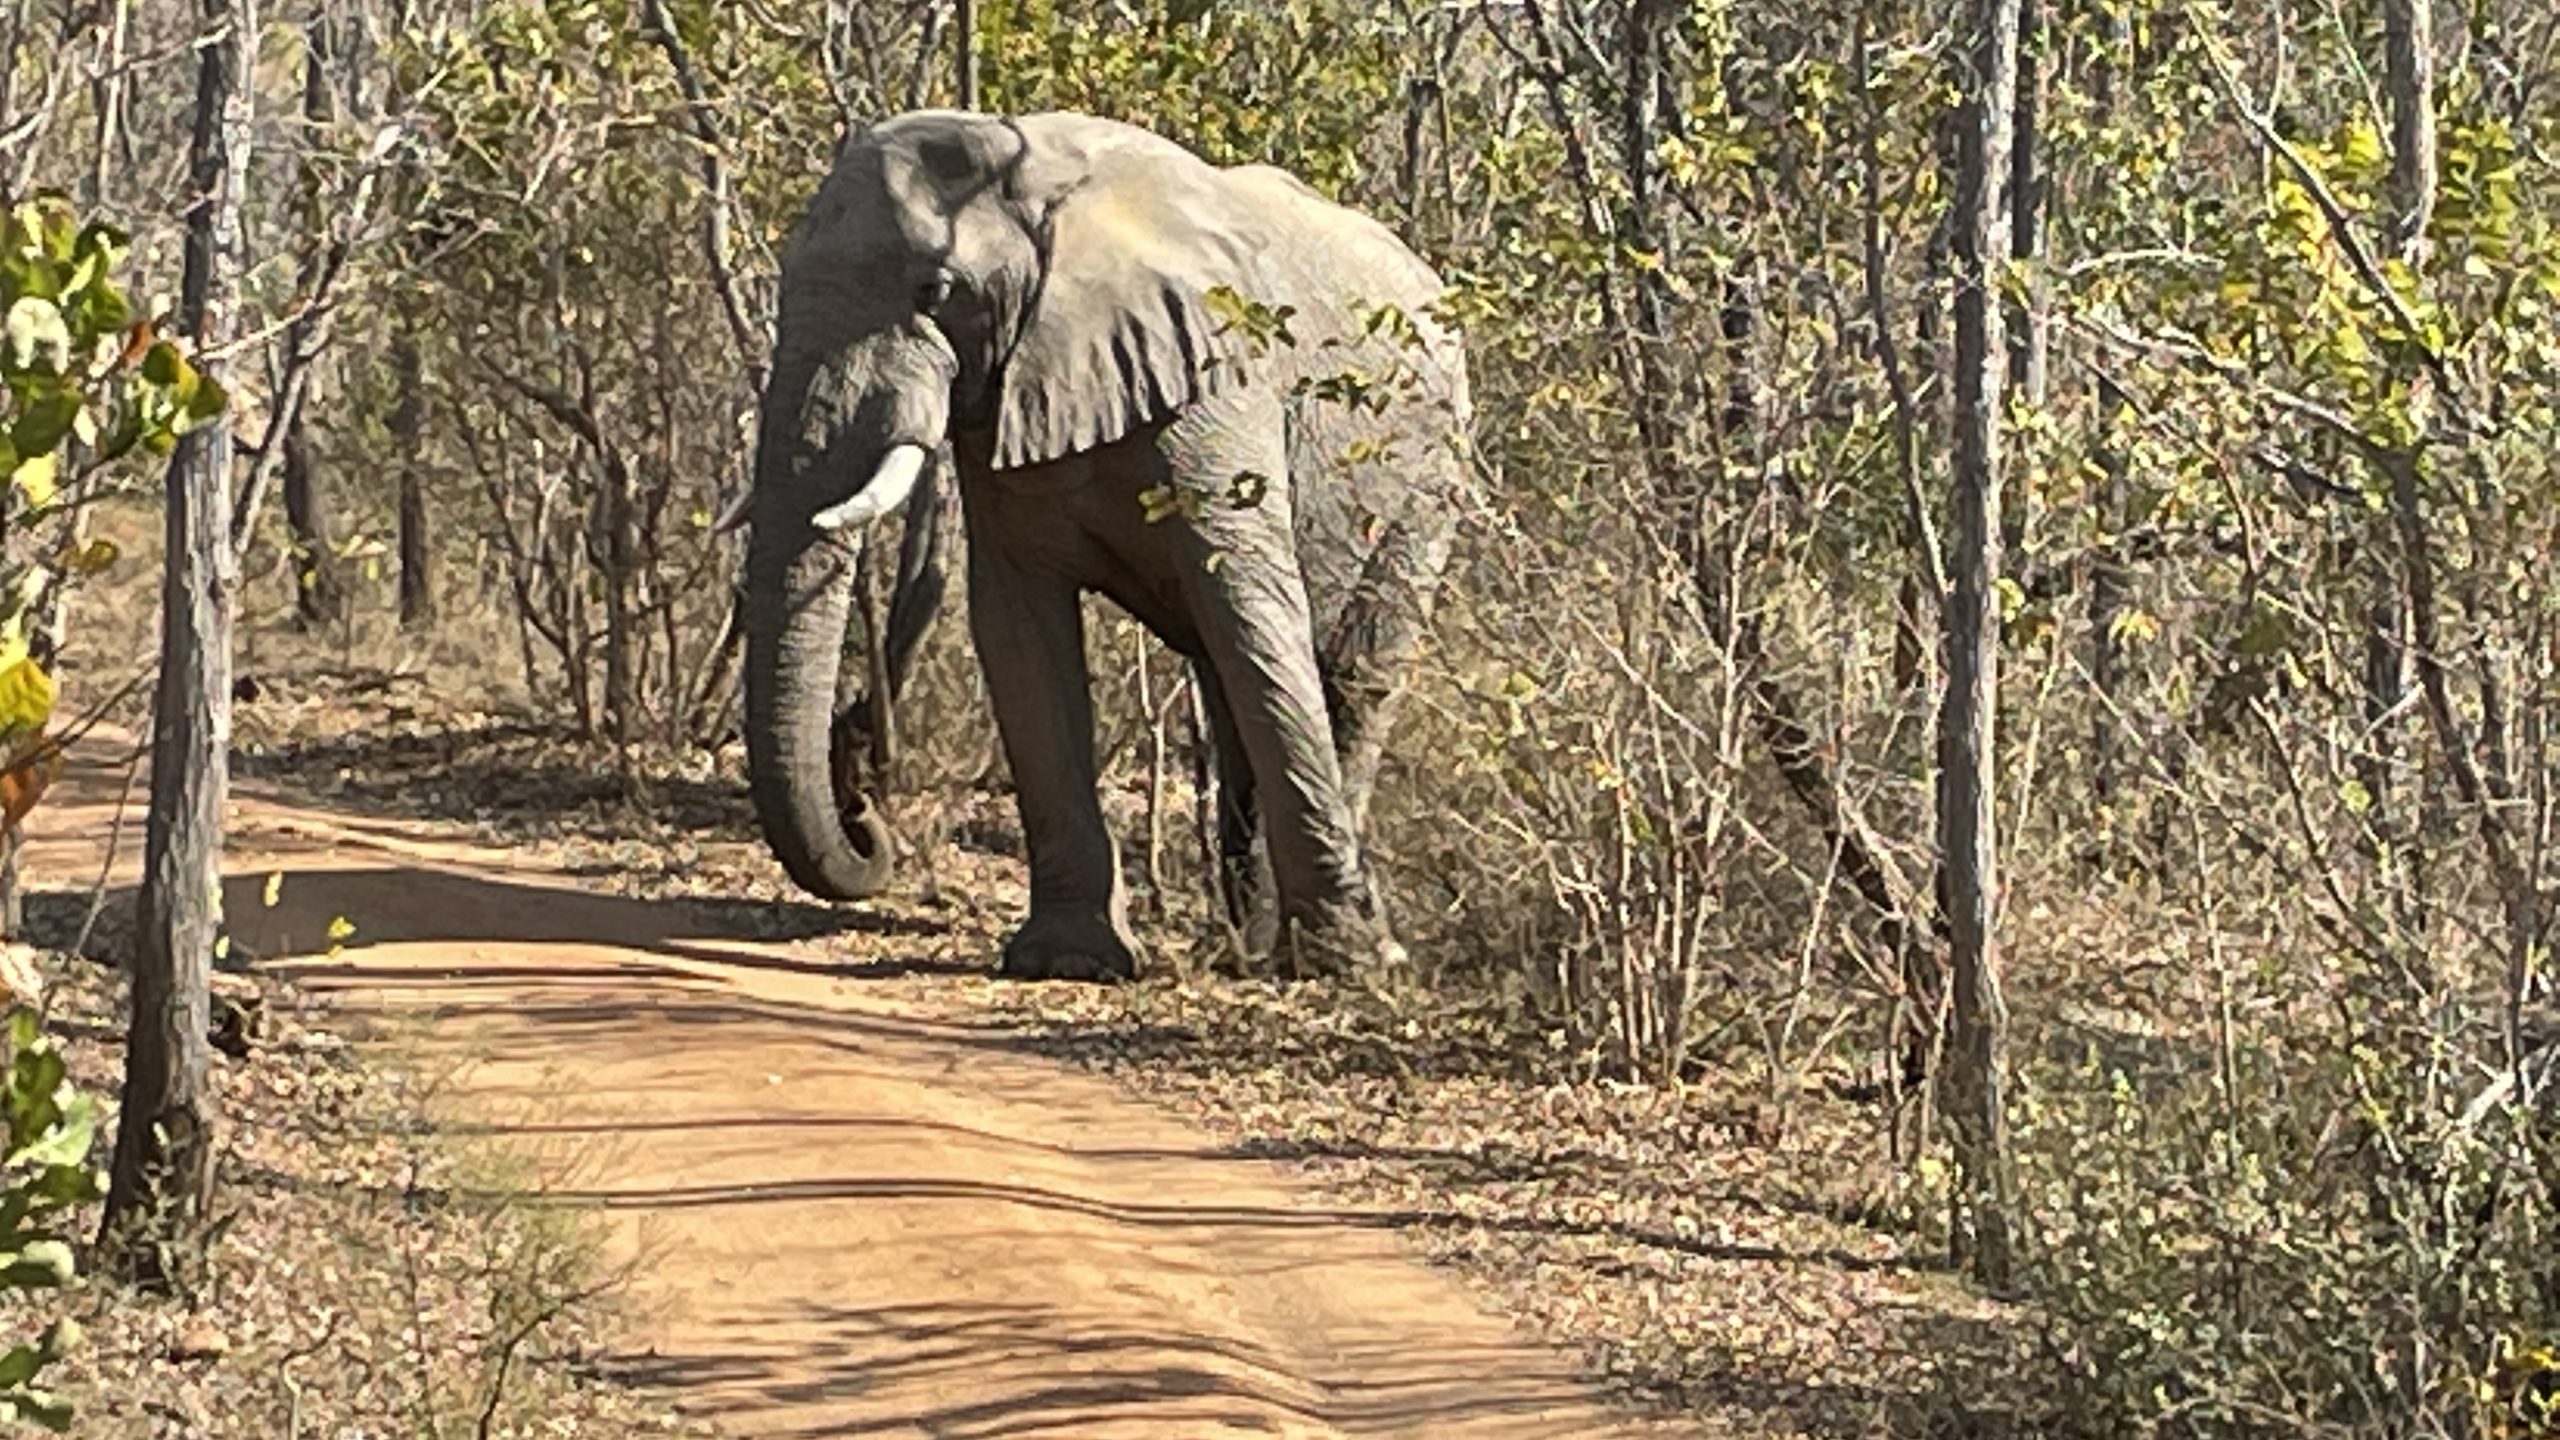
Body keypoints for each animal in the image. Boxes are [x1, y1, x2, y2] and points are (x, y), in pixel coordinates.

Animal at [732, 112, 1474, 978]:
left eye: (937, 293)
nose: (863, 814)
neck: (1040, 178)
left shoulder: (1218, 383)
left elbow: (1253, 611)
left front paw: (1352, 968)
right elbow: (1018, 630)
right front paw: (1069, 959)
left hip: (1431, 481)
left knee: (1355, 677)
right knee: (1227, 688)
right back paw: (1245, 947)